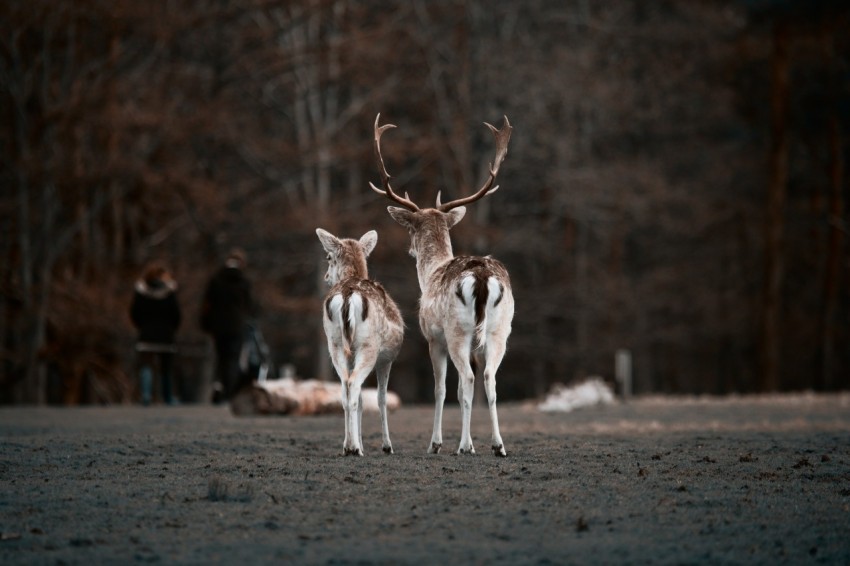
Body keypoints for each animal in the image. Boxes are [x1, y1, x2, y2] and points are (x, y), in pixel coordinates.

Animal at [314, 229, 404, 454]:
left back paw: (348, 446)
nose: (326, 277)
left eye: (328, 257)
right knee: (353, 384)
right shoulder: (386, 360)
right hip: (368, 346)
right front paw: (387, 446)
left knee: (345, 388)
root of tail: (347, 296)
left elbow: (364, 400)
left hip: (335, 344)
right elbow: (381, 399)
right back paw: (354, 448)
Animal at [372, 113, 516, 460]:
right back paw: (498, 446)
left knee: (467, 378)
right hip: (499, 330)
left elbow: (442, 388)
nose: (410, 250)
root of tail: (481, 278)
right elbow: (470, 388)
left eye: (411, 229)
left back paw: (463, 446)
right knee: (489, 379)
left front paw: (437, 443)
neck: (431, 272)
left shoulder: (432, 337)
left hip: (457, 330)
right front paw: (477, 441)